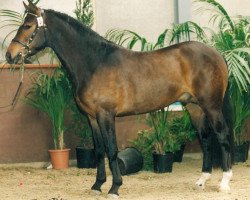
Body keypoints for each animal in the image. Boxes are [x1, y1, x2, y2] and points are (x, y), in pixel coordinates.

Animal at [4, 0, 233, 198]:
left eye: (28, 25)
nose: (9, 55)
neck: (94, 62)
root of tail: (216, 54)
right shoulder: (92, 118)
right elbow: (99, 151)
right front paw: (97, 185)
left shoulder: (106, 115)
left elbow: (112, 150)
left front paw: (115, 187)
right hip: (194, 107)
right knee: (205, 138)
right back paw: (202, 180)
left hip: (211, 106)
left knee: (222, 135)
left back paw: (224, 182)